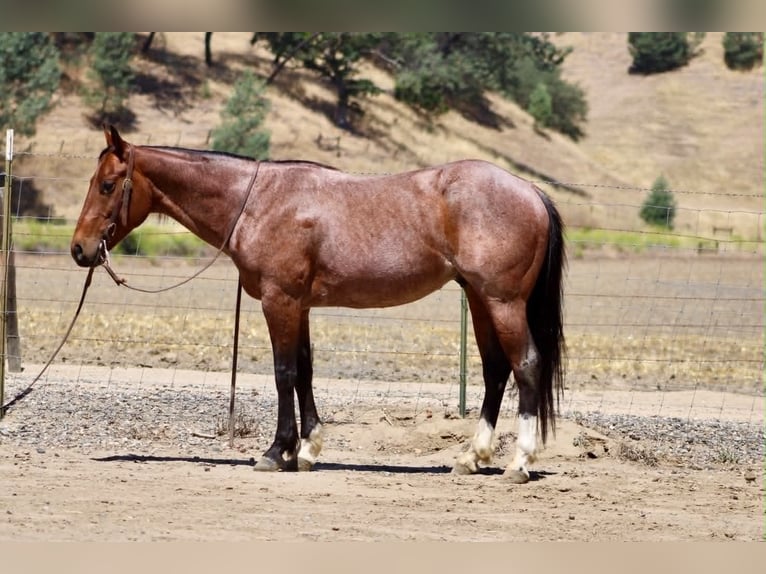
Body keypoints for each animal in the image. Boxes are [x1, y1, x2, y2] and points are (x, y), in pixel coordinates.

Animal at [71, 125, 566, 483]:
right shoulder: (301, 306)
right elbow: (305, 371)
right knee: (495, 370)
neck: (258, 201)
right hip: (480, 300)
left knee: (525, 364)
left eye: (108, 185)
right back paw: (471, 457)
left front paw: (276, 452)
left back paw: (518, 462)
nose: (79, 249)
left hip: (502, 302)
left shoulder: (280, 302)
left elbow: (283, 373)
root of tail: (530, 191)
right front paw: (307, 450)